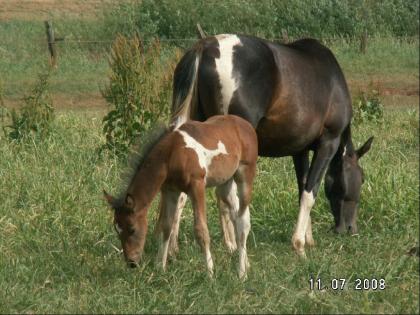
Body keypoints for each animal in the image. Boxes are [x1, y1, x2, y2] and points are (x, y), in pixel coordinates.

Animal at [103, 115, 258, 278]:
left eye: (132, 228)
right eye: (117, 230)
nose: (132, 262)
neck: (171, 154)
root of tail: (245, 124)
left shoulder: (197, 186)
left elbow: (201, 230)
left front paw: (210, 272)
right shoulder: (170, 191)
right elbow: (166, 226)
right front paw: (160, 267)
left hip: (245, 175)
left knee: (243, 221)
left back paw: (241, 273)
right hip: (225, 184)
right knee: (236, 215)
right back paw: (246, 264)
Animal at [169, 34, 372, 260]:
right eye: (362, 178)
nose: (350, 229)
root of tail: (205, 46)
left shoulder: (299, 151)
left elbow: (302, 188)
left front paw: (308, 239)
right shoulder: (328, 143)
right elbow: (310, 192)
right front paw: (299, 245)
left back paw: (175, 249)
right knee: (228, 197)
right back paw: (236, 247)